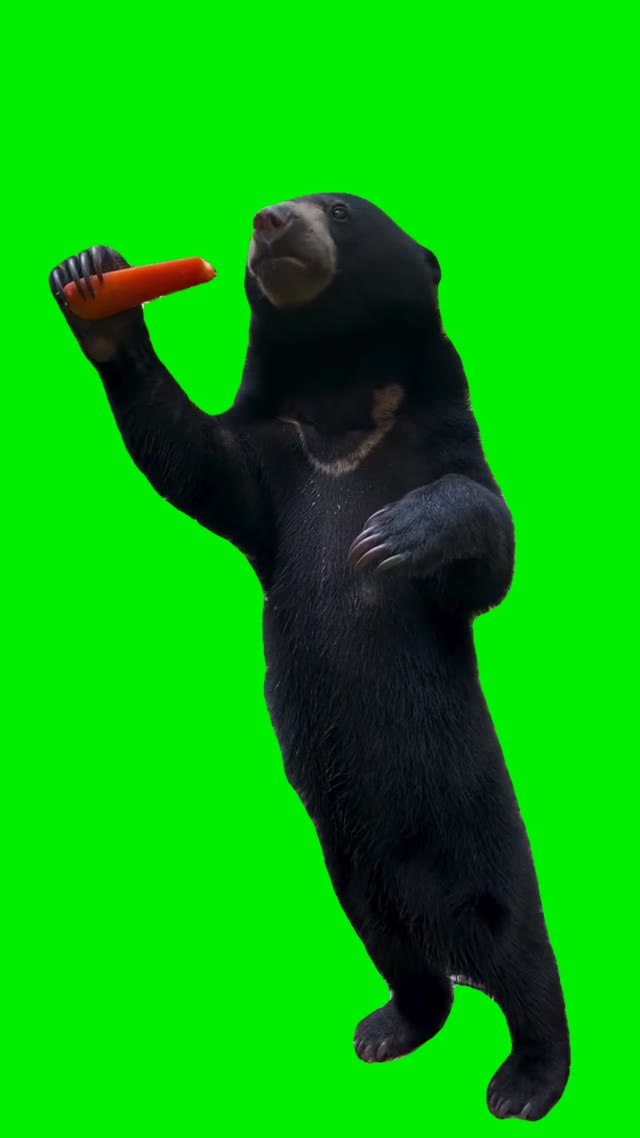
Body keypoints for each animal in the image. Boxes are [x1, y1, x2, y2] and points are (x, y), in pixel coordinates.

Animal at [49, 193, 571, 1121]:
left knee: (518, 943)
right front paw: (92, 284)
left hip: (475, 828)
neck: (346, 402)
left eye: (341, 210)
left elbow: (489, 546)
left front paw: (393, 535)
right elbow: (200, 464)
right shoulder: (279, 460)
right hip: (351, 870)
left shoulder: (442, 438)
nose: (271, 220)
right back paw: (392, 1026)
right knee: (401, 955)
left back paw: (526, 1079)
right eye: (275, 210)